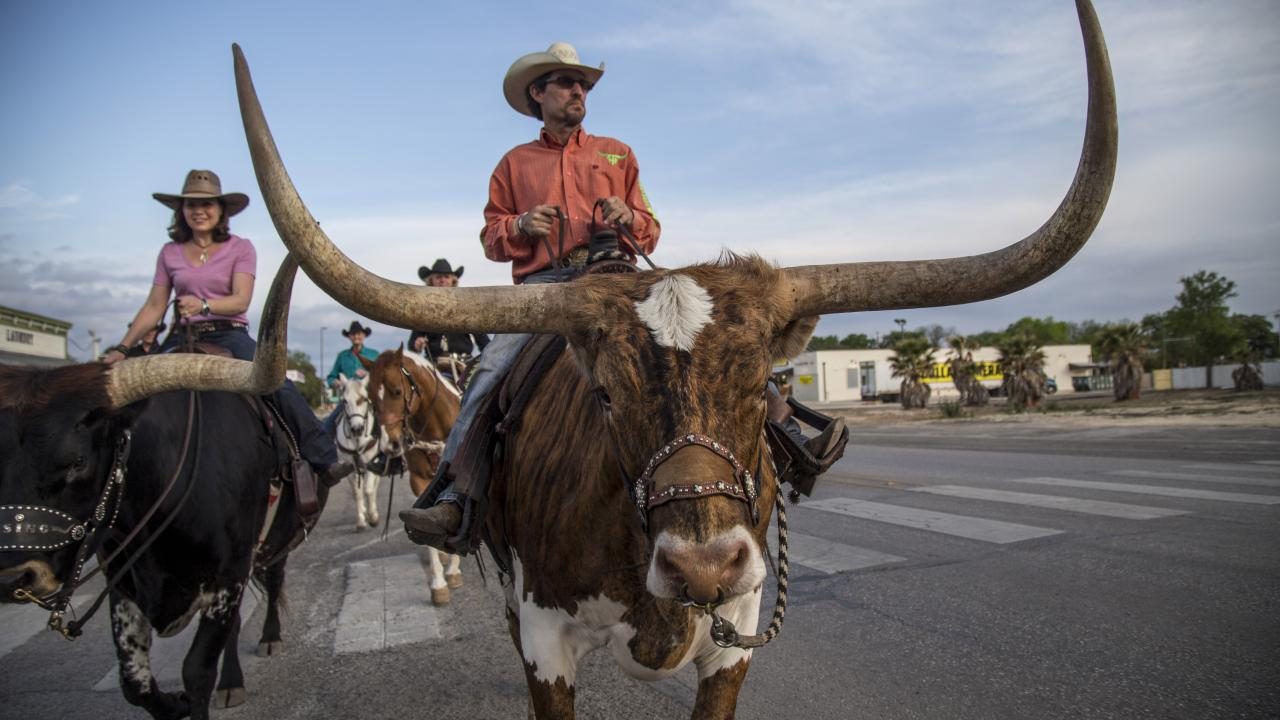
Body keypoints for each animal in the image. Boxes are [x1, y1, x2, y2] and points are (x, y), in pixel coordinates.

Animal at [358, 345, 463, 599]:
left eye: (397, 391)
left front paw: (453, 571)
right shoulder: (419, 481)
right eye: (371, 398)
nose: (390, 444)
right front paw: (438, 584)